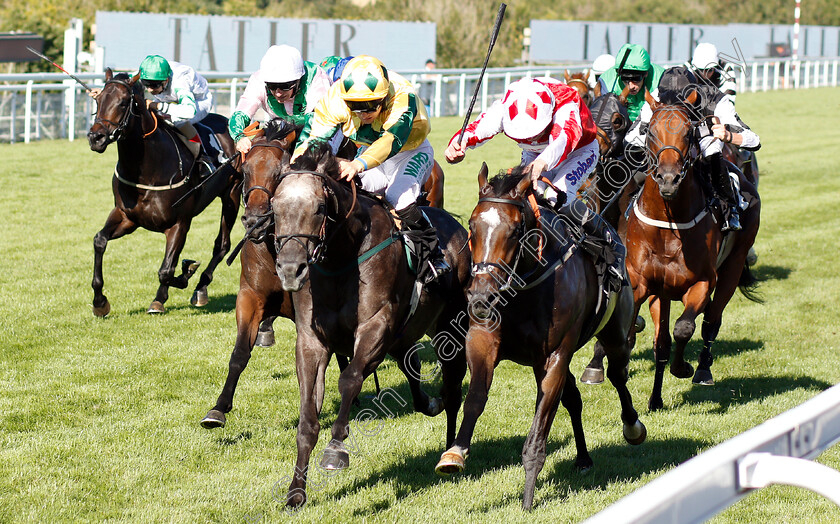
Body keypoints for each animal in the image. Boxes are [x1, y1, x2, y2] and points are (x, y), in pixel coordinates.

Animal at [88, 69, 240, 316]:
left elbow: (167, 270)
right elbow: (99, 240)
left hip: (232, 194)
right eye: (98, 99)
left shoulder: (179, 223)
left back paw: (200, 288)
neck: (146, 169)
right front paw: (99, 301)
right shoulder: (127, 217)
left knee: (222, 244)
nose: (96, 138)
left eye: (123, 102)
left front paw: (179, 280)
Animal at [270, 145, 472, 510]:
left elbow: (350, 379)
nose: (291, 269)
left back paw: (450, 454)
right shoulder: (311, 341)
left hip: (450, 329)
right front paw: (296, 493)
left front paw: (336, 449)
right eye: (275, 207)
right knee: (414, 368)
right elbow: (307, 419)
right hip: (406, 333)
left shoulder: (376, 326)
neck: (342, 258)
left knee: (452, 390)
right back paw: (429, 406)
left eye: (319, 208)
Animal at [436, 163, 648, 508]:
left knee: (617, 375)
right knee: (573, 397)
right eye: (471, 225)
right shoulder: (482, 340)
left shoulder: (556, 355)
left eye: (515, 230)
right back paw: (583, 457)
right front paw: (454, 453)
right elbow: (476, 397)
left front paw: (528, 495)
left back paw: (632, 427)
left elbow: (540, 424)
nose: (480, 297)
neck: (524, 289)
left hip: (615, 333)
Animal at [624, 91, 760, 410]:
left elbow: (684, 328)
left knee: (711, 321)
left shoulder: (701, 283)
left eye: (689, 132)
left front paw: (683, 367)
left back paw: (703, 370)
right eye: (649, 130)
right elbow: (646, 336)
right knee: (662, 342)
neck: (668, 226)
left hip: (733, 266)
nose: (668, 179)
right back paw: (656, 399)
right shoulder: (642, 283)